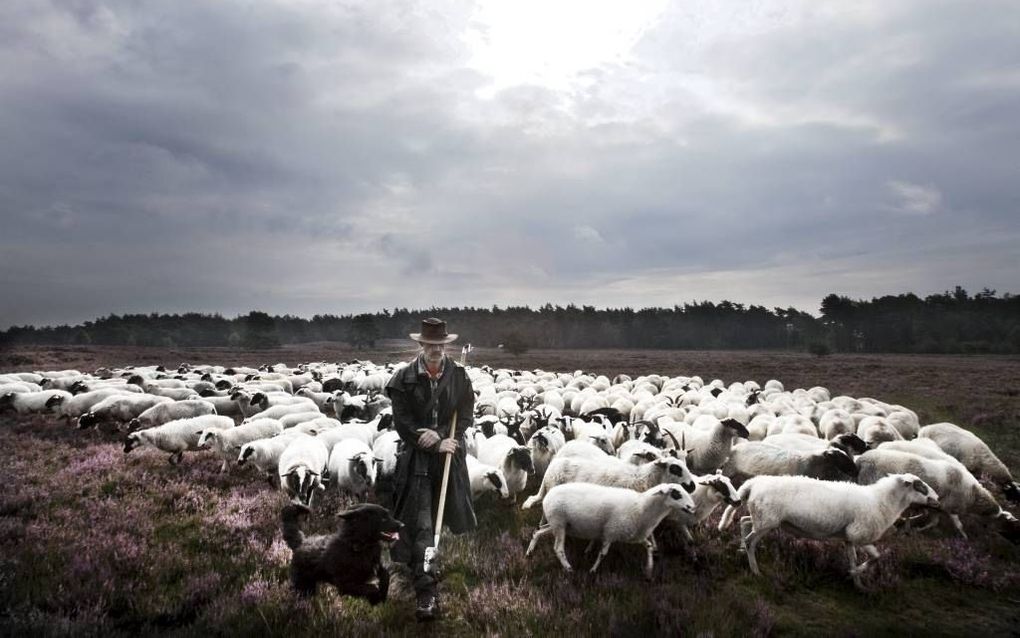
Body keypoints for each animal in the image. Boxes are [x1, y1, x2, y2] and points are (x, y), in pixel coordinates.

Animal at [526, 481, 693, 575]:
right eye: (676, 494)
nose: (692, 507)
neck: (641, 507)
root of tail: (548, 495)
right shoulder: (611, 532)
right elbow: (602, 554)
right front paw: (593, 570)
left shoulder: (633, 535)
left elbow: (649, 546)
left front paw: (649, 570)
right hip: (559, 523)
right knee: (558, 548)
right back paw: (568, 569)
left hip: (559, 524)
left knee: (537, 532)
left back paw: (529, 553)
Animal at [722, 473, 934, 587]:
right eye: (920, 486)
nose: (937, 499)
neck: (881, 501)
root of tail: (754, 483)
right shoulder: (859, 534)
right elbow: (875, 557)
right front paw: (855, 573)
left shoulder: (849, 538)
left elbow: (856, 558)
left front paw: (857, 582)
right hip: (767, 521)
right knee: (750, 540)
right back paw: (755, 570)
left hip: (763, 518)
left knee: (744, 521)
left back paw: (741, 550)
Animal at [856, 445, 1015, 538]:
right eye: (1002, 523)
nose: (993, 535)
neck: (973, 494)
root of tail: (863, 458)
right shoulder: (949, 506)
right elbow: (957, 524)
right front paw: (964, 537)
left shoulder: (937, 507)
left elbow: (933, 521)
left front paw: (915, 529)